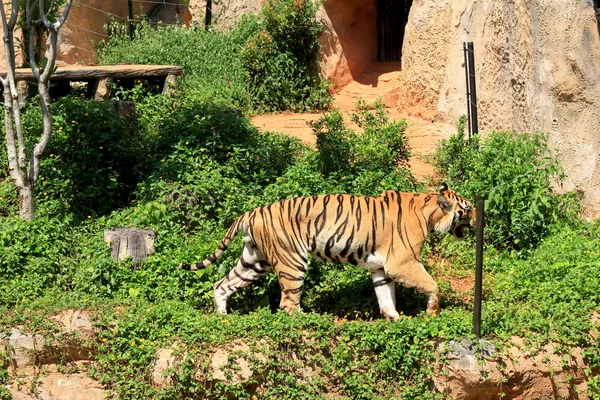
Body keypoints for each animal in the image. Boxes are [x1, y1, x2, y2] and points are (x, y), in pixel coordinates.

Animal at [180, 183, 476, 320]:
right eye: (469, 208)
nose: (476, 220)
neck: (428, 212)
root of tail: (251, 212)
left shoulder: (381, 268)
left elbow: (385, 296)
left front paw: (394, 319)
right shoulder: (402, 263)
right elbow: (432, 284)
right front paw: (432, 313)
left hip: (254, 261)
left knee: (221, 284)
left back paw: (223, 318)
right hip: (292, 262)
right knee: (288, 304)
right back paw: (310, 321)